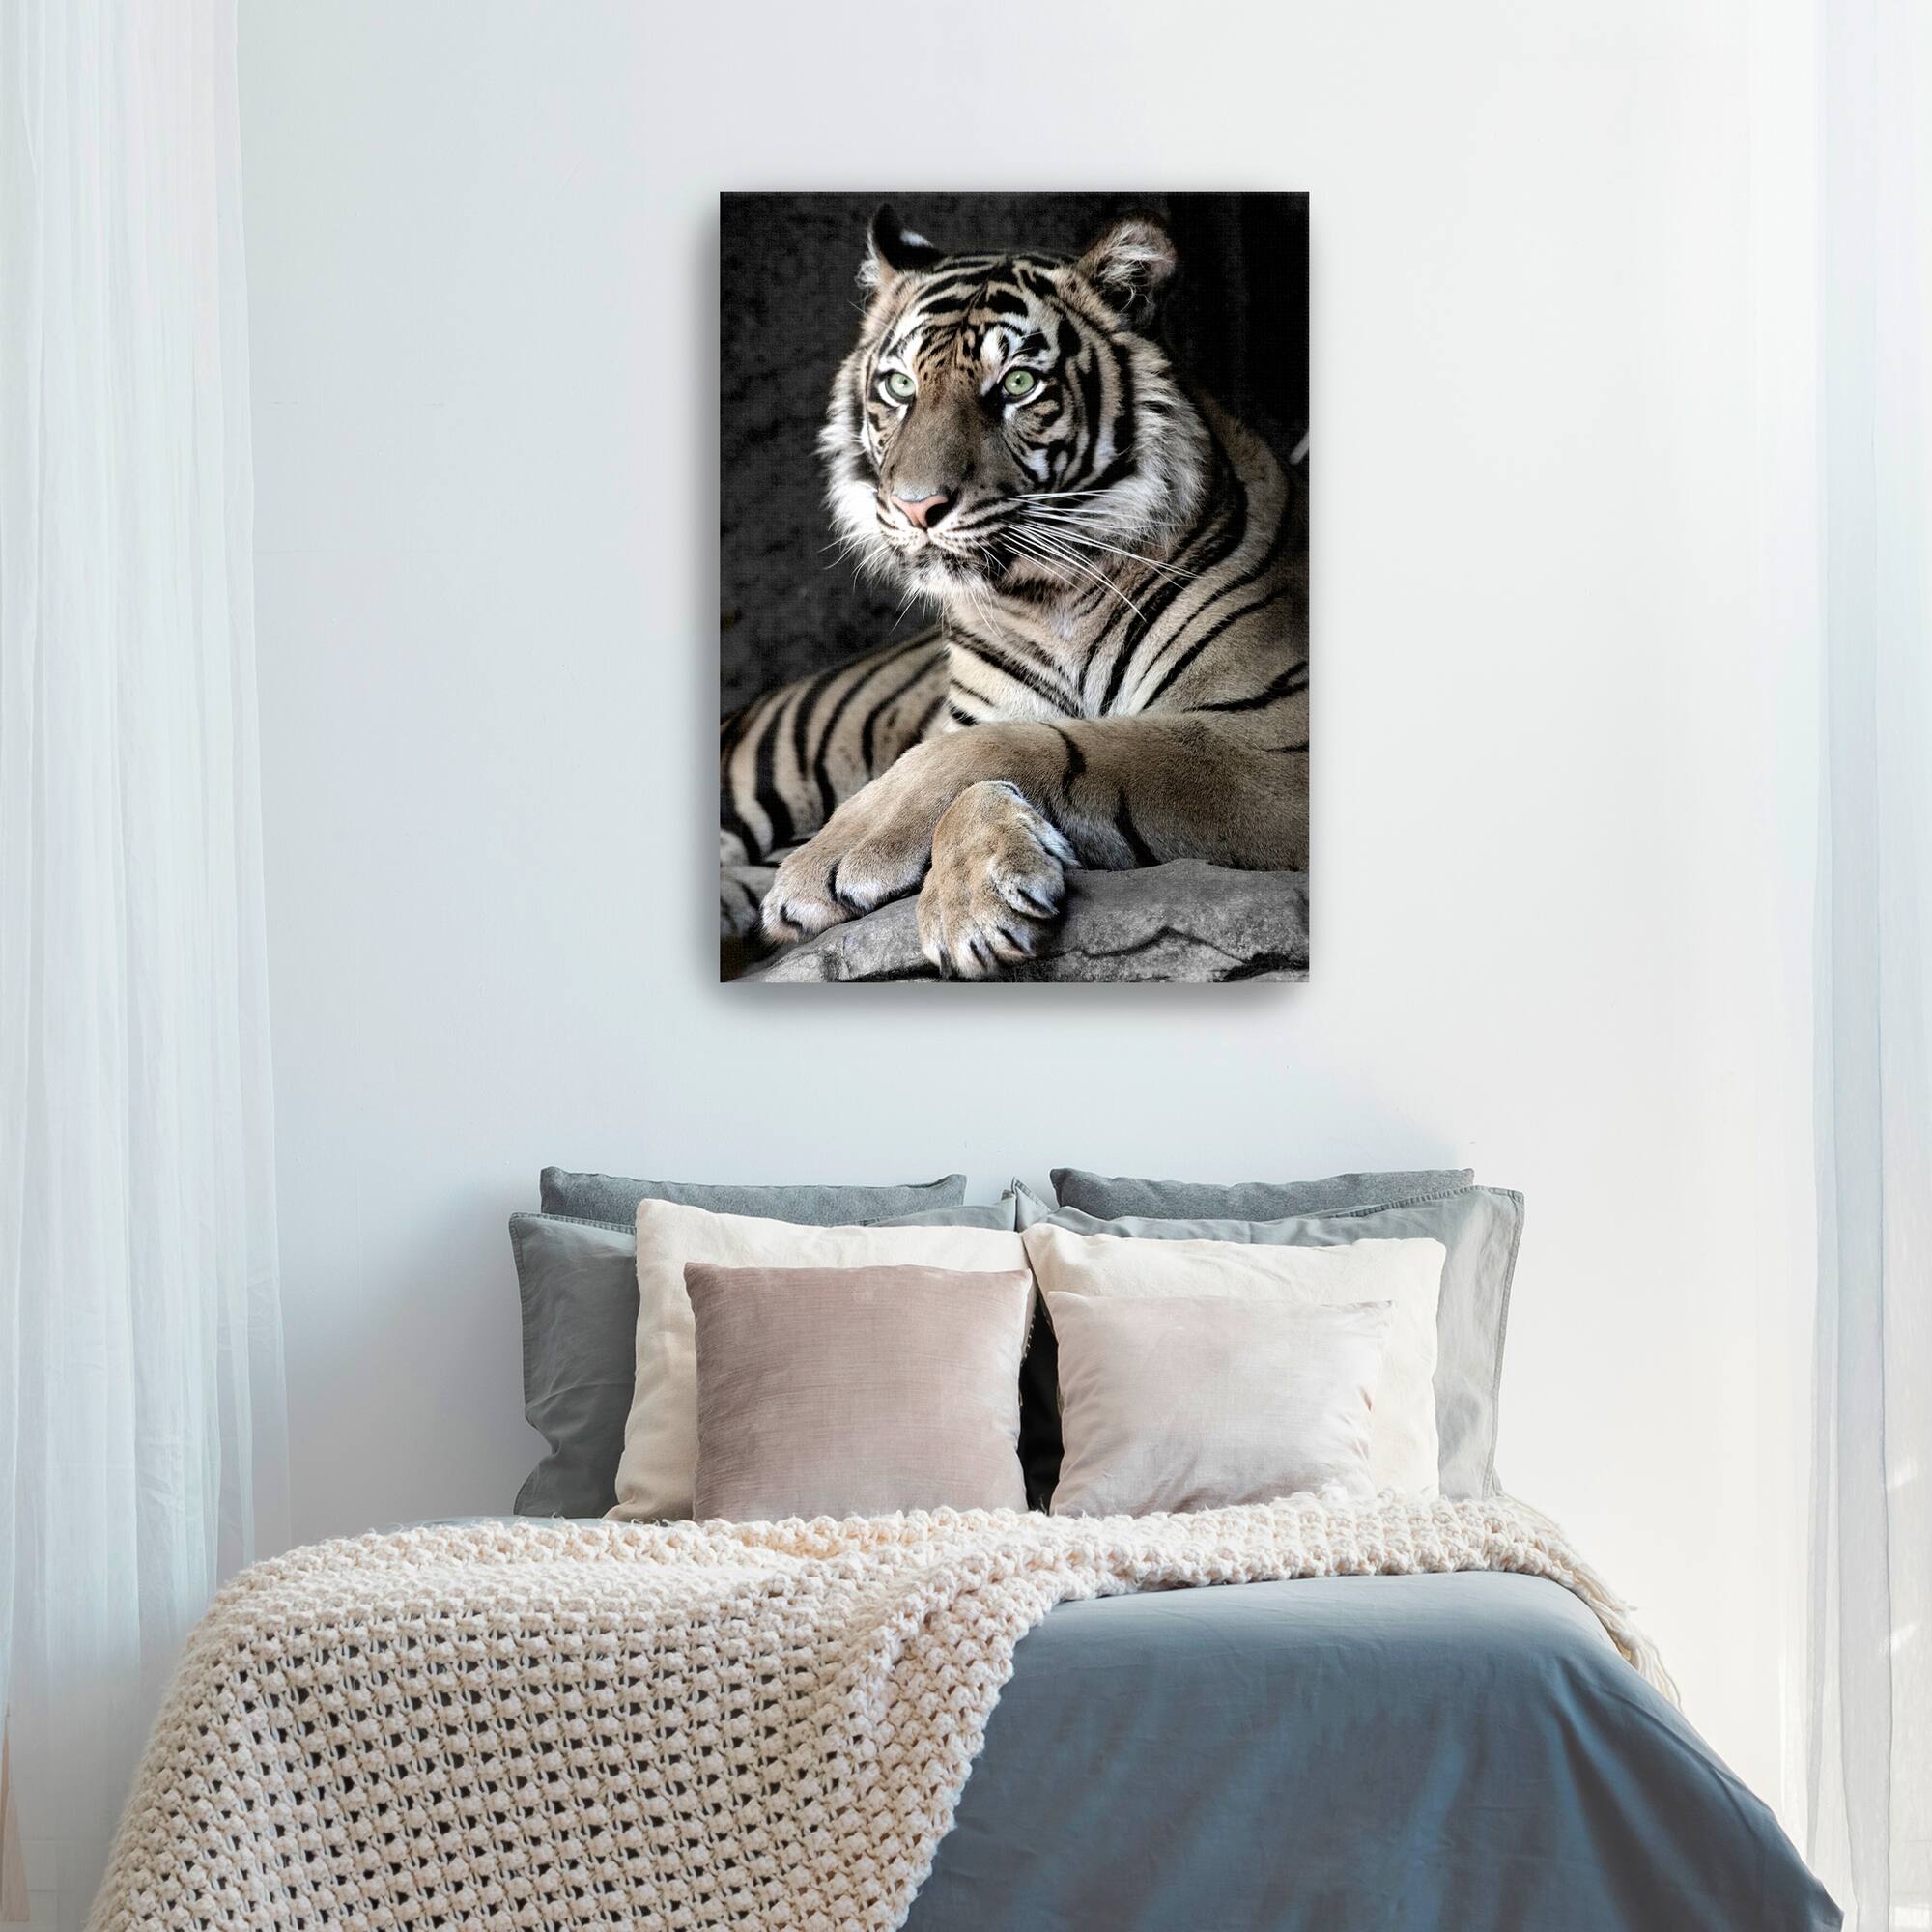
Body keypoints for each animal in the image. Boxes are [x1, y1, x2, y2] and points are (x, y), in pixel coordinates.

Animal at [719, 203, 1307, 979]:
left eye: (1021, 383)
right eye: (900, 388)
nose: (916, 508)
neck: (1047, 602)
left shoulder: (1280, 742)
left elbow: (1033, 748)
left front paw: (864, 864)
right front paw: (968, 899)